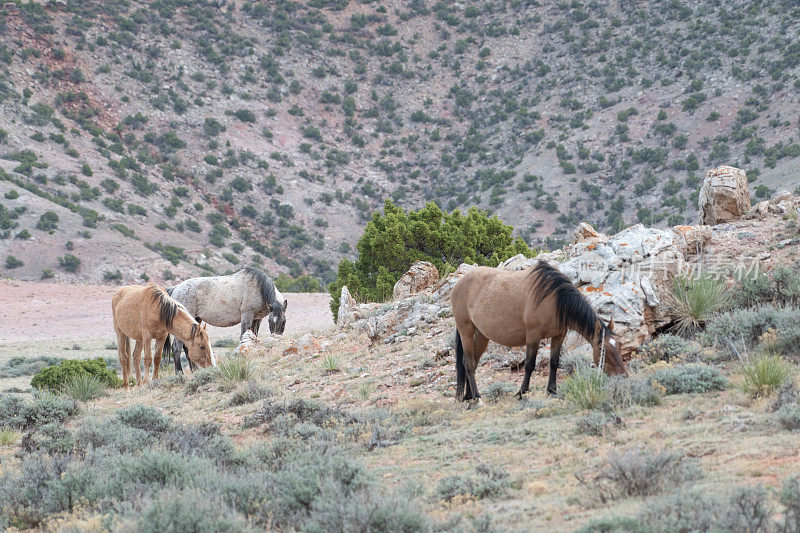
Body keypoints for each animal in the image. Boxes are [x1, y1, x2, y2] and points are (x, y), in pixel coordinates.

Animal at [450, 260, 624, 402]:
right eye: (602, 349)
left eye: (620, 345)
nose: (622, 375)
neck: (553, 298)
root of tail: (459, 284)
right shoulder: (533, 336)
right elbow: (529, 365)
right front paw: (522, 392)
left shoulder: (559, 335)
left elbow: (554, 362)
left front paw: (552, 390)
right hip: (466, 330)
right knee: (469, 363)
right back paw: (477, 397)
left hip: (481, 335)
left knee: (472, 362)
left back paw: (468, 395)